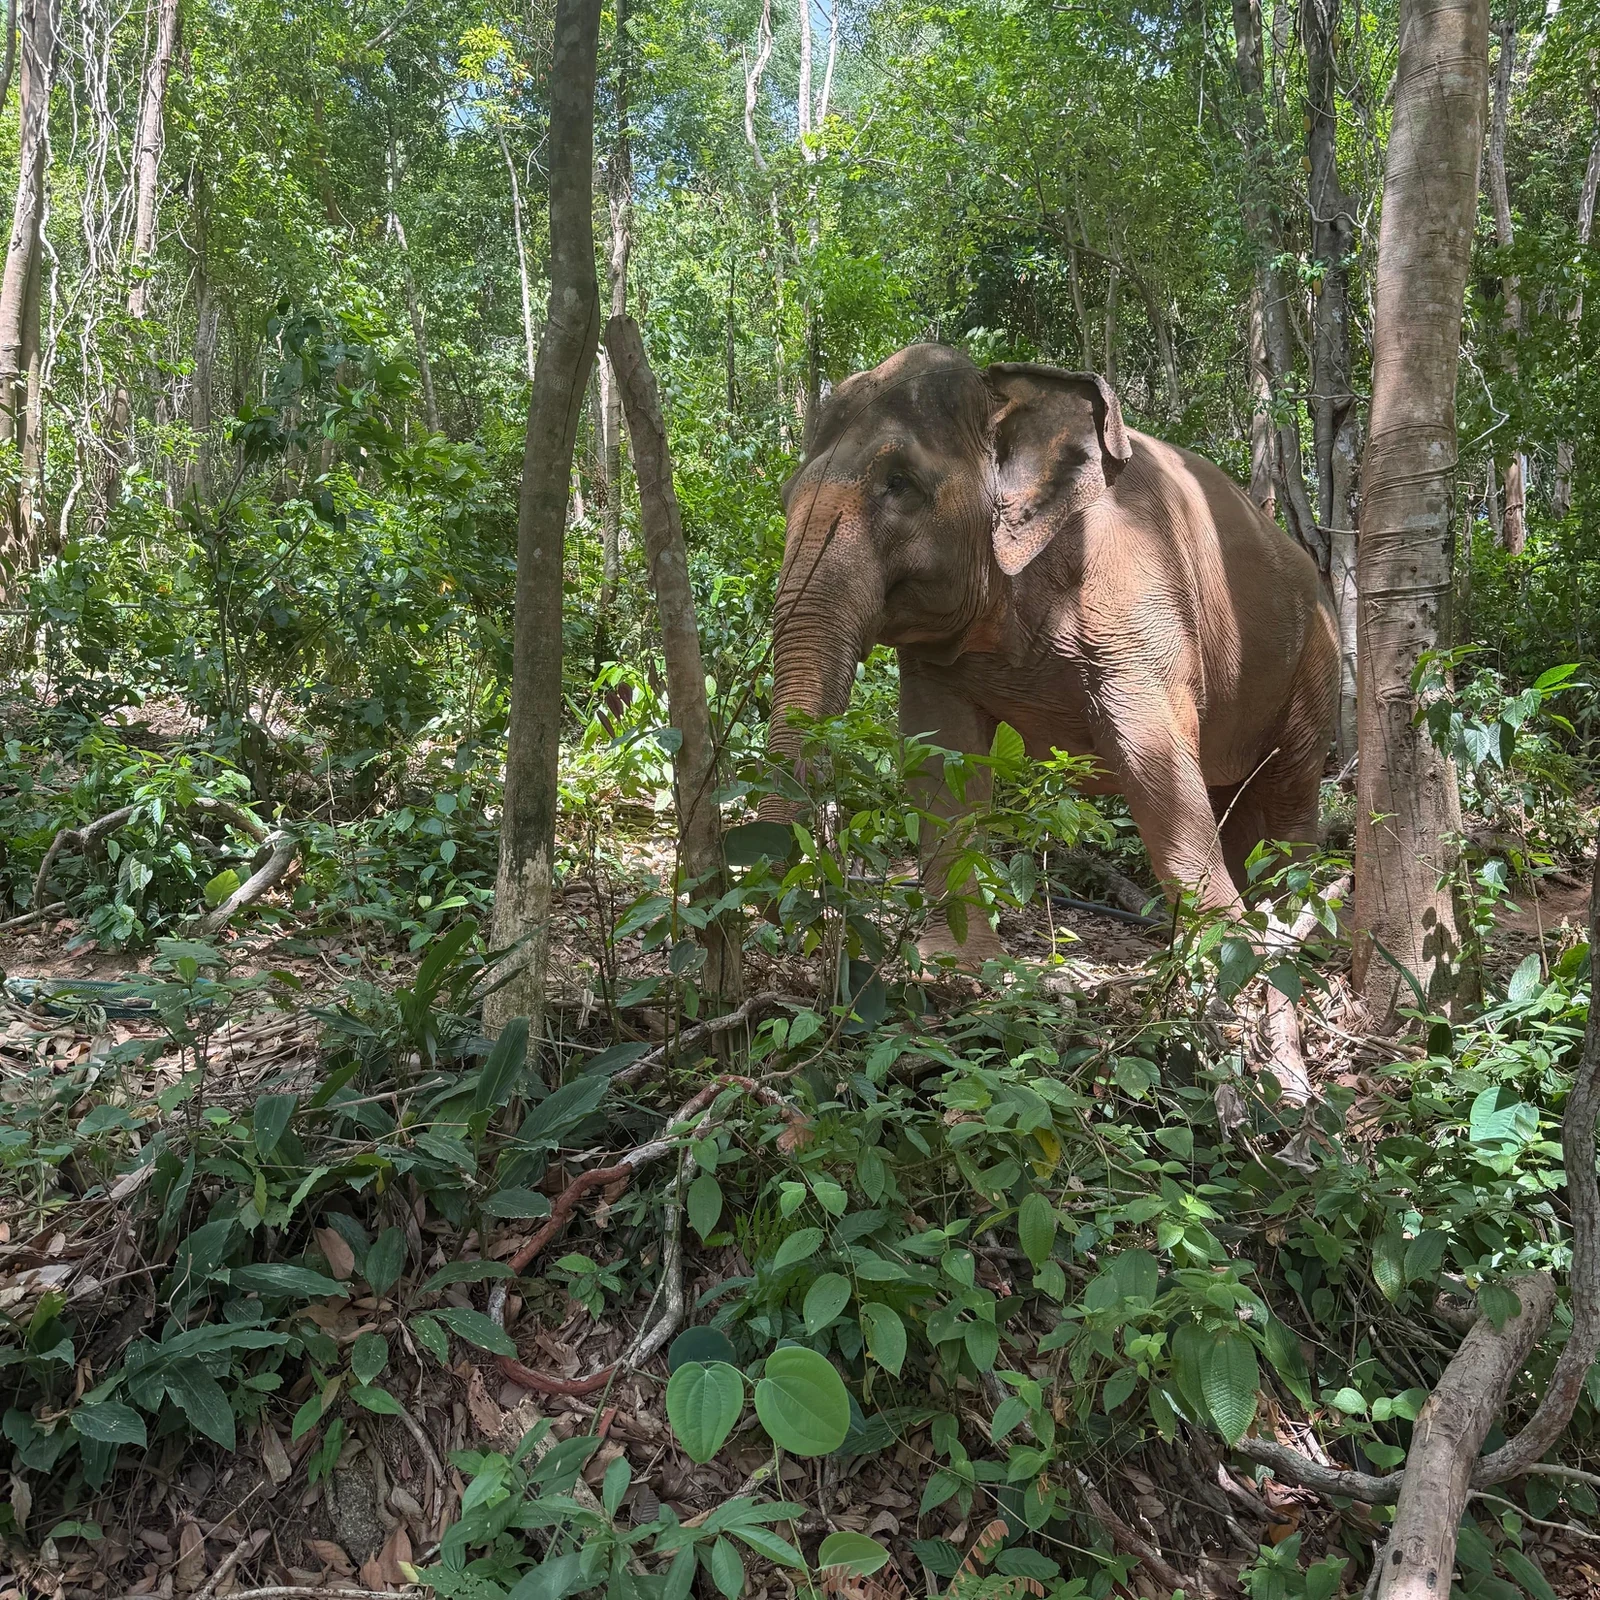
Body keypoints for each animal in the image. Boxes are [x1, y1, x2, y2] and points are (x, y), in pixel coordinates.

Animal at [765, 341, 1339, 964]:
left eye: (899, 483)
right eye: (786, 493)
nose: (784, 922)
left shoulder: (1135, 593)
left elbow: (1152, 757)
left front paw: (1224, 955)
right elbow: (940, 758)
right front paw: (959, 961)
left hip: (1315, 665)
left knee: (1290, 791)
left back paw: (1292, 931)